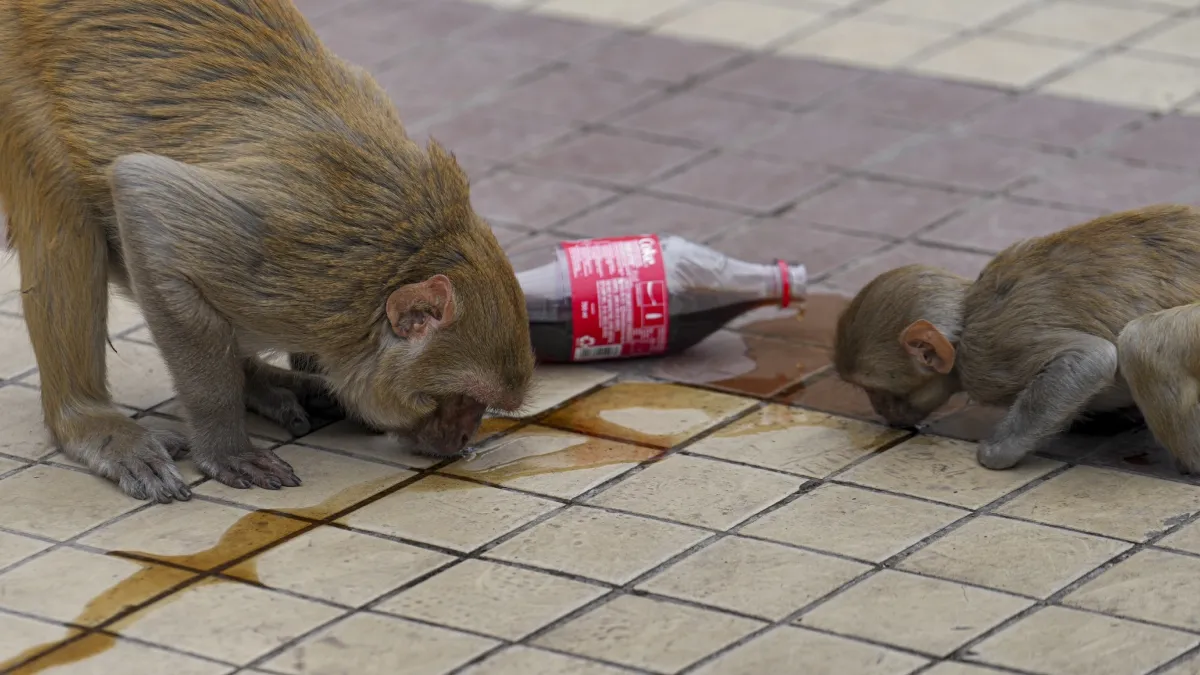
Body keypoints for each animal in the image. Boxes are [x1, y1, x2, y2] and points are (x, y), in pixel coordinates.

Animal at [0, 0, 535, 503]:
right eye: (460, 398)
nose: (463, 435)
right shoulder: (293, 262)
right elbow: (146, 201)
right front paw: (224, 445)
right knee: (65, 214)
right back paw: (87, 420)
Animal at [833, 204, 1200, 474]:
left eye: (875, 389)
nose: (880, 410)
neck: (967, 318)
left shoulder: (987, 357)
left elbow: (1091, 358)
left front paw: (998, 450)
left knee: (1142, 342)